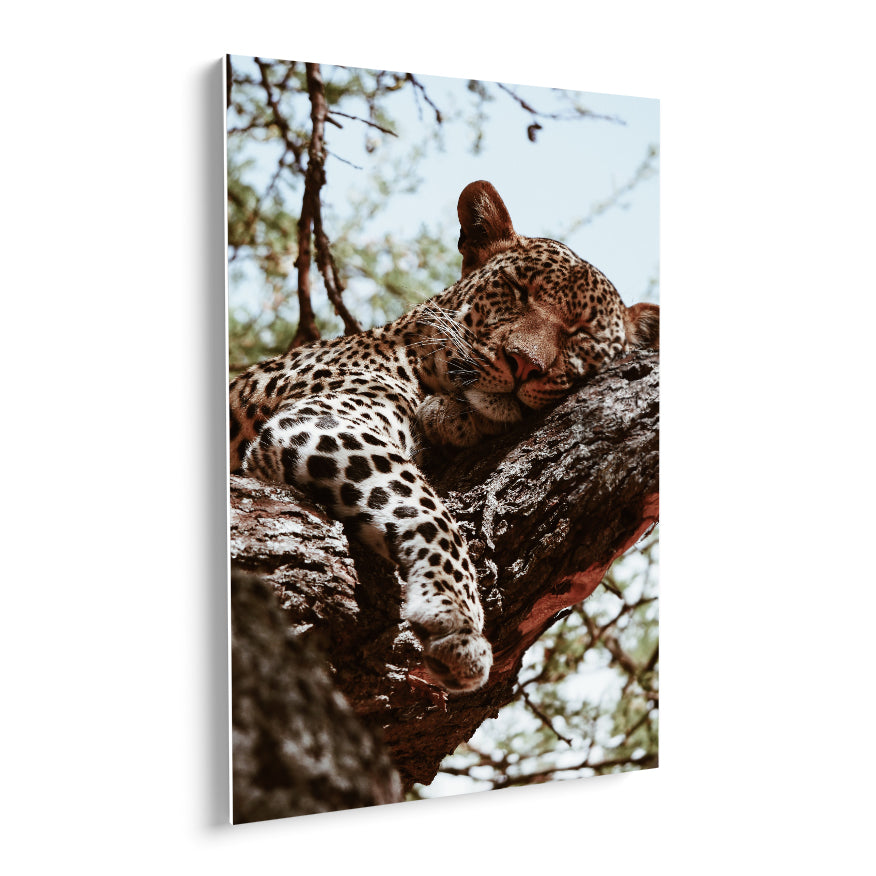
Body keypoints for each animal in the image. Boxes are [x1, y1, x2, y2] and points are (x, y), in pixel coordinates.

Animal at [229, 180, 659, 694]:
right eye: (517, 291)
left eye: (581, 333)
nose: (524, 363)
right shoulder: (325, 419)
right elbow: (426, 509)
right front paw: (455, 616)